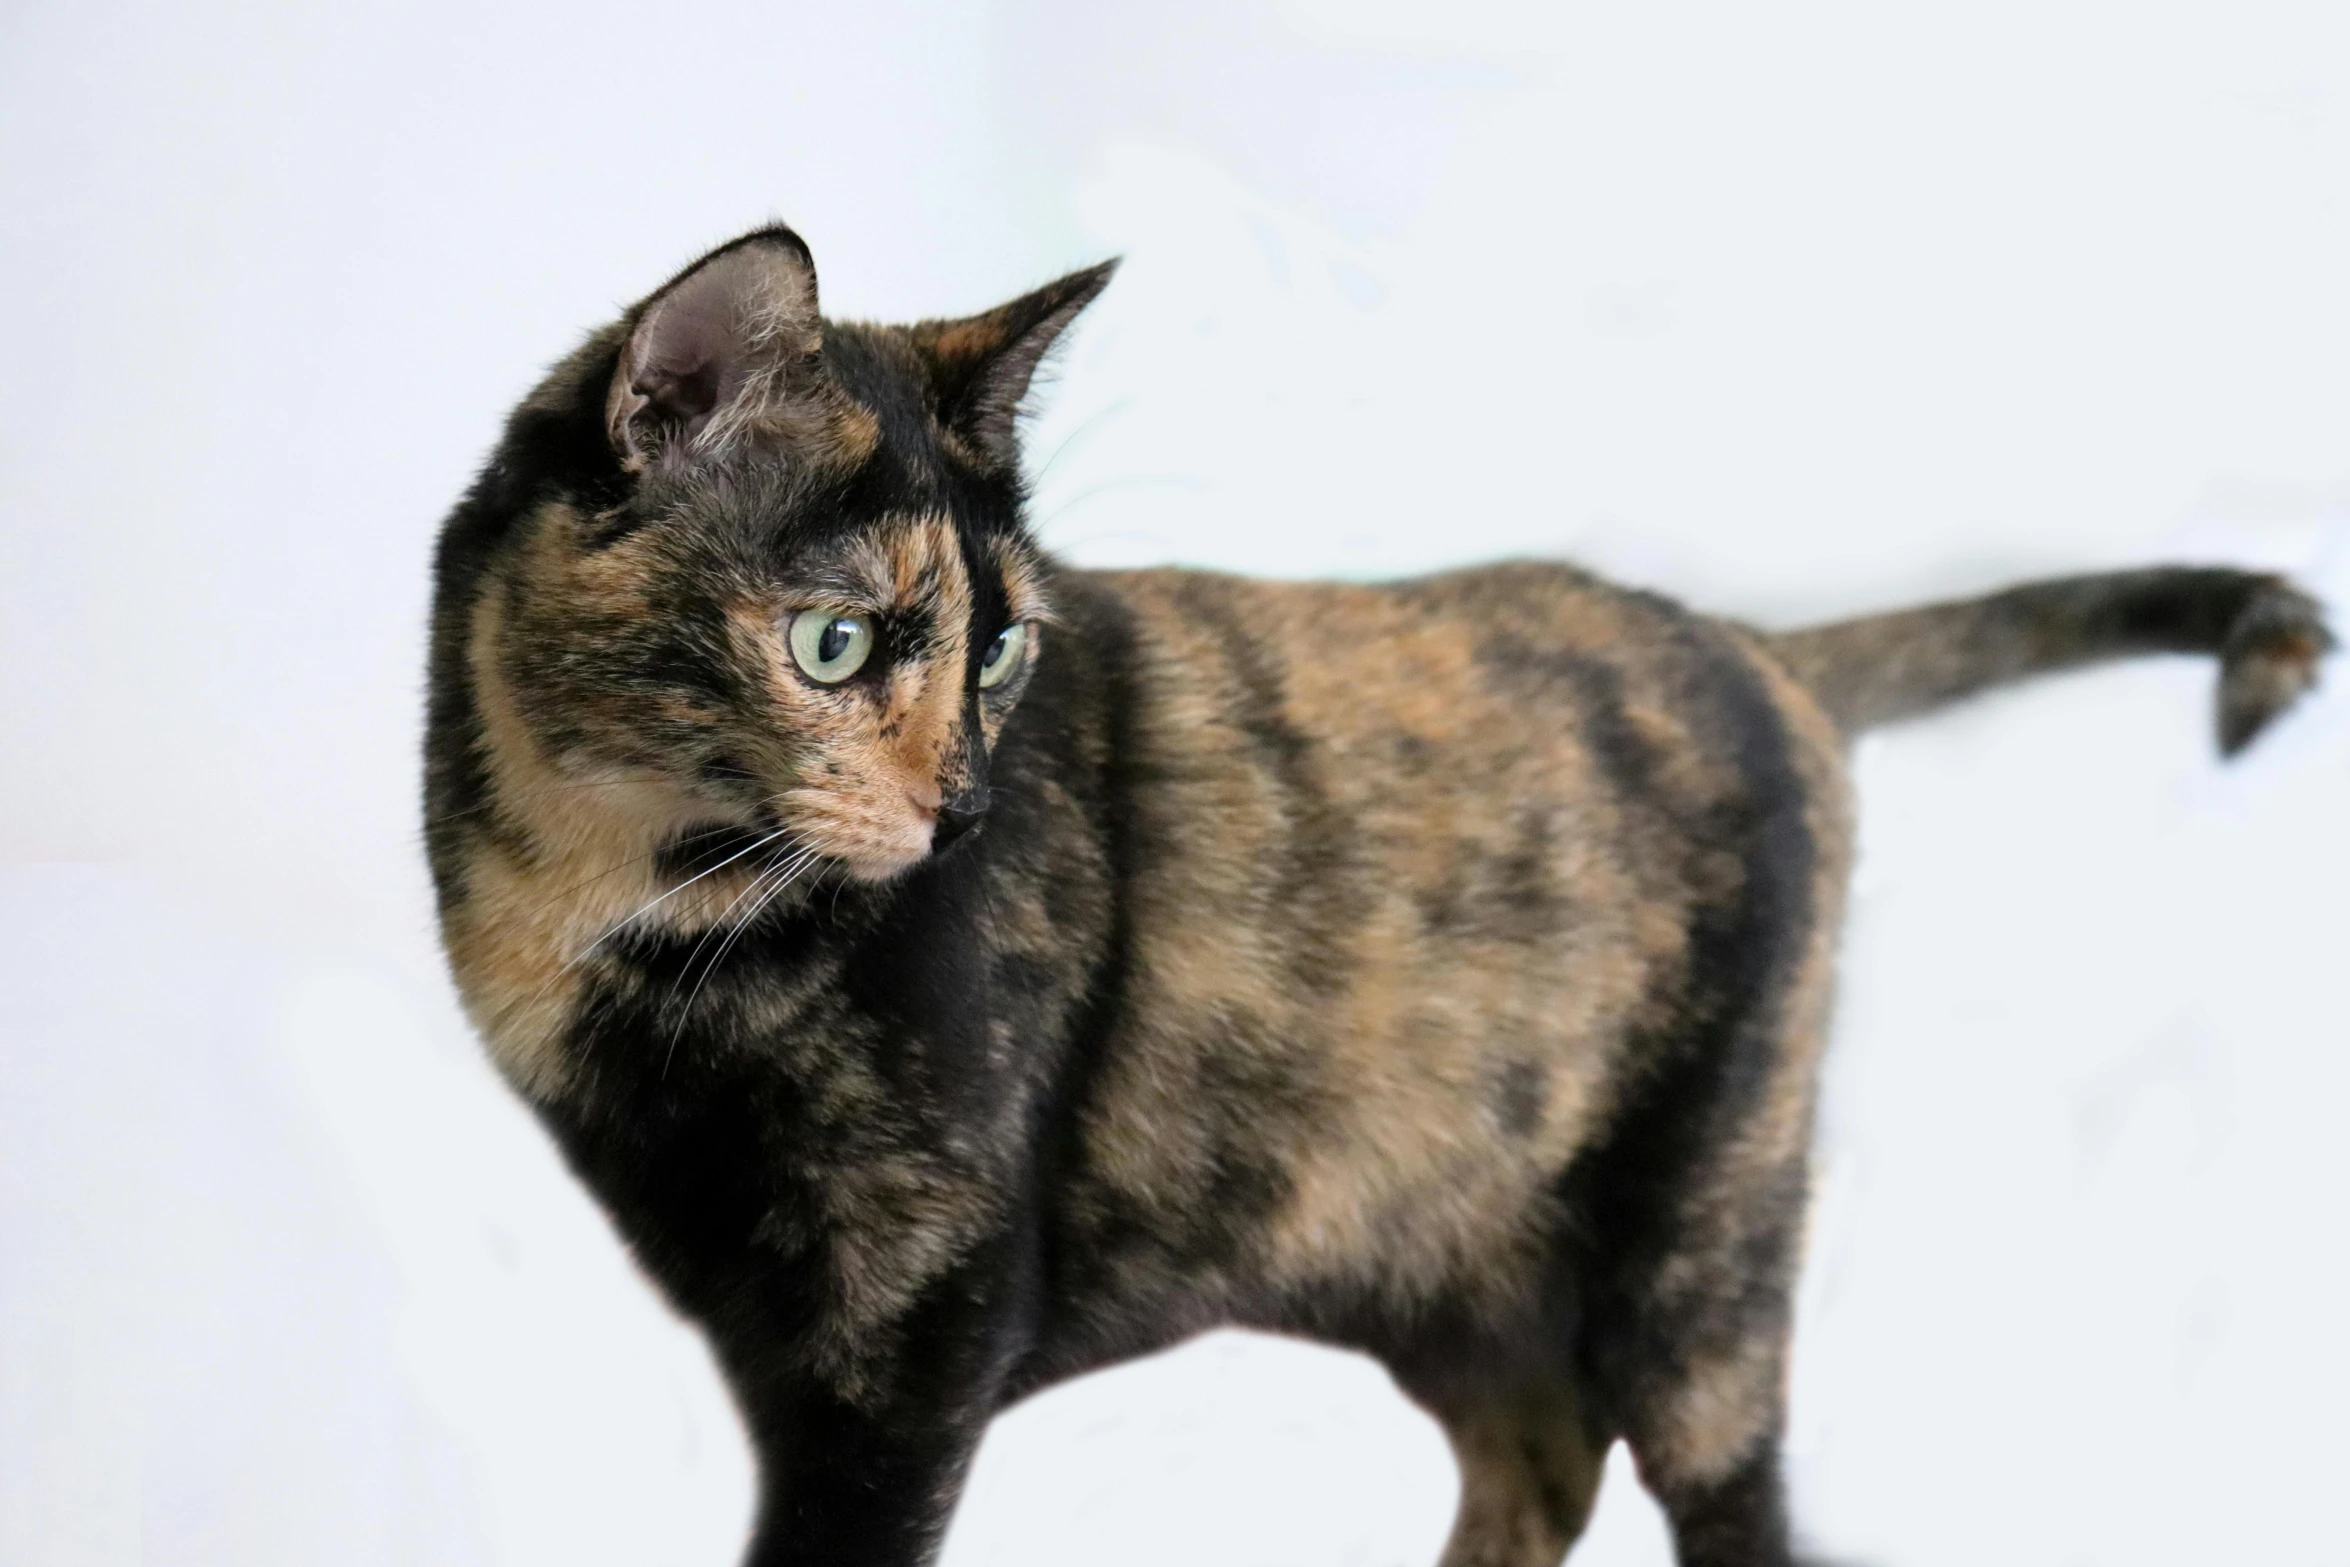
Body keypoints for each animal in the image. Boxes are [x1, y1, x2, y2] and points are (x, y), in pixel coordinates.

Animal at [422, 223, 2331, 1567]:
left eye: (1003, 648)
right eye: (835, 642)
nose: (965, 807)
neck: (615, 906)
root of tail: (1757, 644)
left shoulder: (909, 1341)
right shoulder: (777, 1341)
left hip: (1702, 1259)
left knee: (1719, 1491)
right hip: (1451, 1259)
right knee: (1540, 1460)